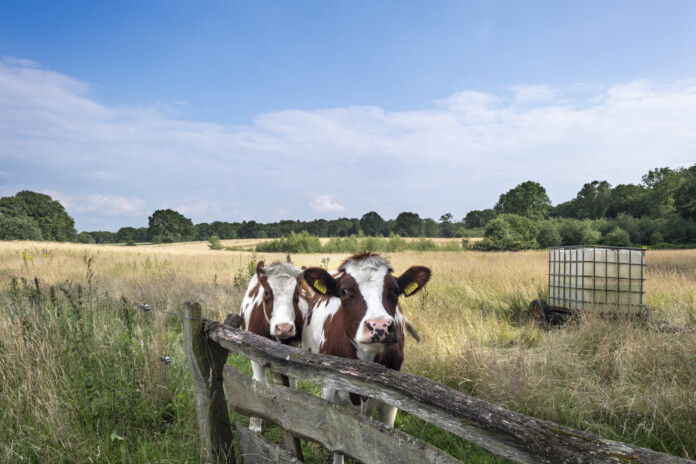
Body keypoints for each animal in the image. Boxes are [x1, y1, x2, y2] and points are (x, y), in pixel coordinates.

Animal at [240, 260, 304, 432]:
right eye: (267, 293)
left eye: (297, 294)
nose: (284, 328)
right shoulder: (254, 354)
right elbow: (260, 384)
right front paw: (255, 425)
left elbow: (292, 388)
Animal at [298, 252, 431, 464]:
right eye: (344, 291)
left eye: (395, 290)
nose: (379, 326)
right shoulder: (329, 391)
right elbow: (338, 442)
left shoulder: (391, 402)